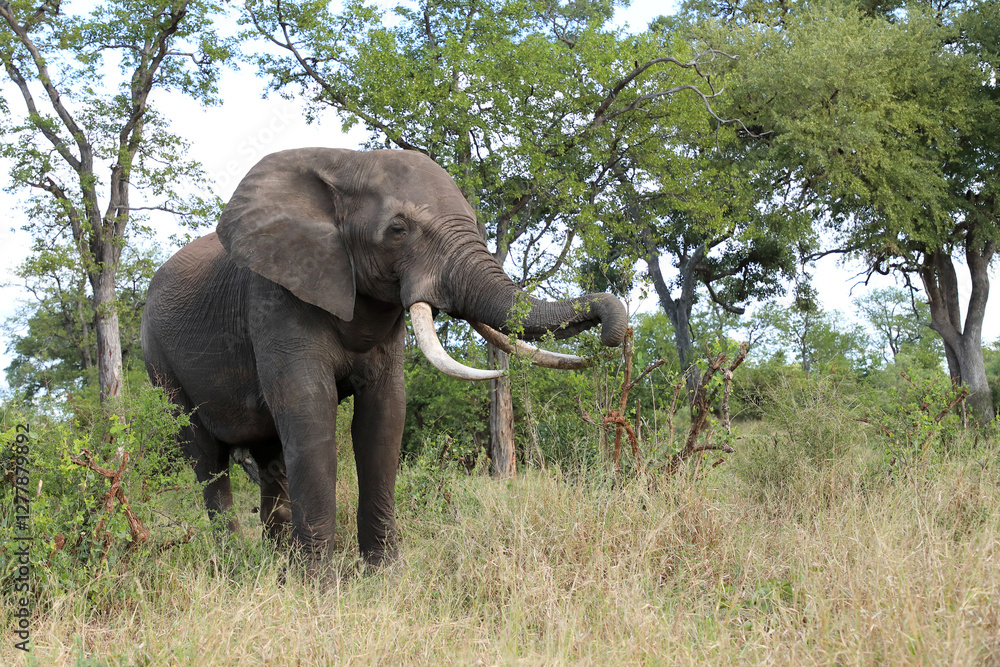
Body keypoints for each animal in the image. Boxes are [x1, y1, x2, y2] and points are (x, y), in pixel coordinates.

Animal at [141, 147, 627, 571]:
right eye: (398, 230)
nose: (614, 331)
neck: (342, 164)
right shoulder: (274, 296)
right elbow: (309, 410)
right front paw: (320, 589)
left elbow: (385, 416)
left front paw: (382, 576)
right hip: (159, 361)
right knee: (205, 457)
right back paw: (235, 565)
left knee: (271, 459)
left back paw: (276, 567)